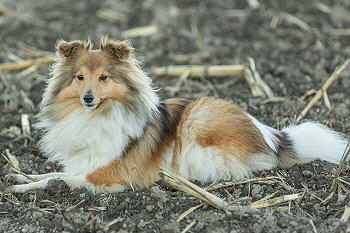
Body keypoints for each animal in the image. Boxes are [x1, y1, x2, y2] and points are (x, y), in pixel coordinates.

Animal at [5, 36, 348, 193]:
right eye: (79, 78)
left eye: (104, 78)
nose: (88, 98)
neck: (96, 115)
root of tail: (274, 136)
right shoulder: (84, 163)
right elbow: (49, 174)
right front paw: (20, 176)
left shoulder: (103, 174)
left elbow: (58, 179)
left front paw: (20, 188)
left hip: (198, 118)